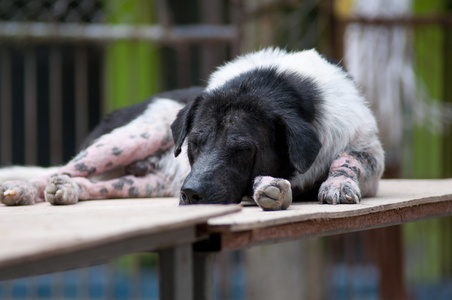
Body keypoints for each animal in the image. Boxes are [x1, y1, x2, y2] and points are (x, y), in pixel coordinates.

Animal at [0, 48, 384, 210]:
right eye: (193, 144)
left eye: (243, 149)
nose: (191, 193)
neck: (270, 85)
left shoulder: (369, 151)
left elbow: (347, 159)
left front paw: (337, 184)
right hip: (126, 140)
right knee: (62, 170)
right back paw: (24, 189)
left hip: (145, 184)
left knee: (97, 184)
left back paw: (69, 190)